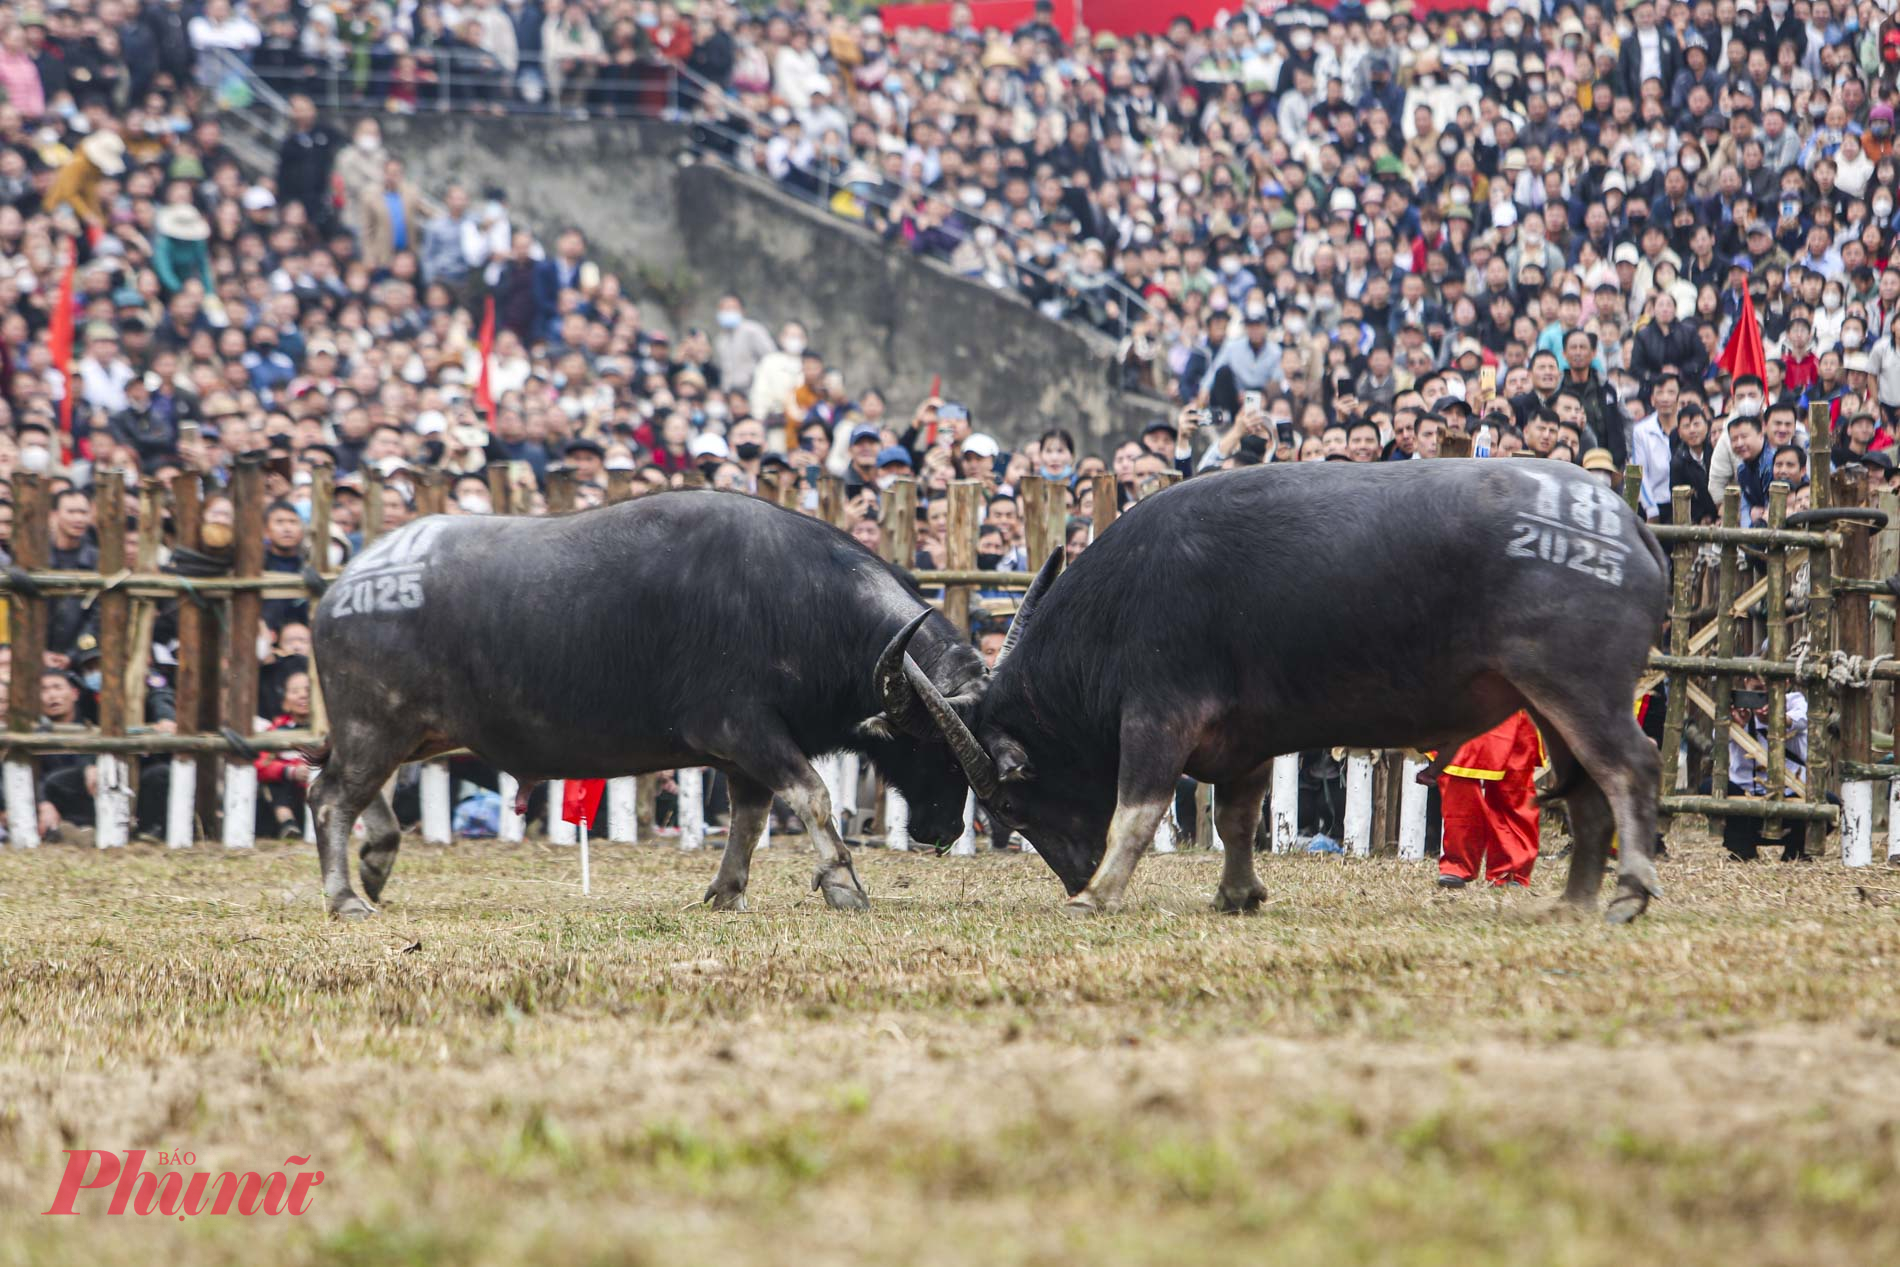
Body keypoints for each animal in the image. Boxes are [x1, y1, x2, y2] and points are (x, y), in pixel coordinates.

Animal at [307, 490, 980, 915]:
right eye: (935, 748)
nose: (945, 829)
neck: (801, 603)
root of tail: (340, 590)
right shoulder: (744, 730)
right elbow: (812, 795)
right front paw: (843, 885)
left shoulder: (745, 755)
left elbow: (751, 818)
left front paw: (726, 892)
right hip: (375, 724)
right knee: (329, 797)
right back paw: (345, 899)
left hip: (404, 732)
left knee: (356, 790)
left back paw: (375, 861)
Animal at [881, 455, 1672, 923]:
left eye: (1007, 804)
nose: (1074, 879)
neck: (1122, 605)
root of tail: (1625, 521)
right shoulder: (1245, 738)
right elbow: (1237, 817)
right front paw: (1238, 893)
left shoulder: (1157, 717)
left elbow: (1136, 810)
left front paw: (1103, 894)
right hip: (1548, 703)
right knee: (1586, 789)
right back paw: (1573, 903)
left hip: (1581, 688)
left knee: (1630, 765)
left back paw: (1629, 891)